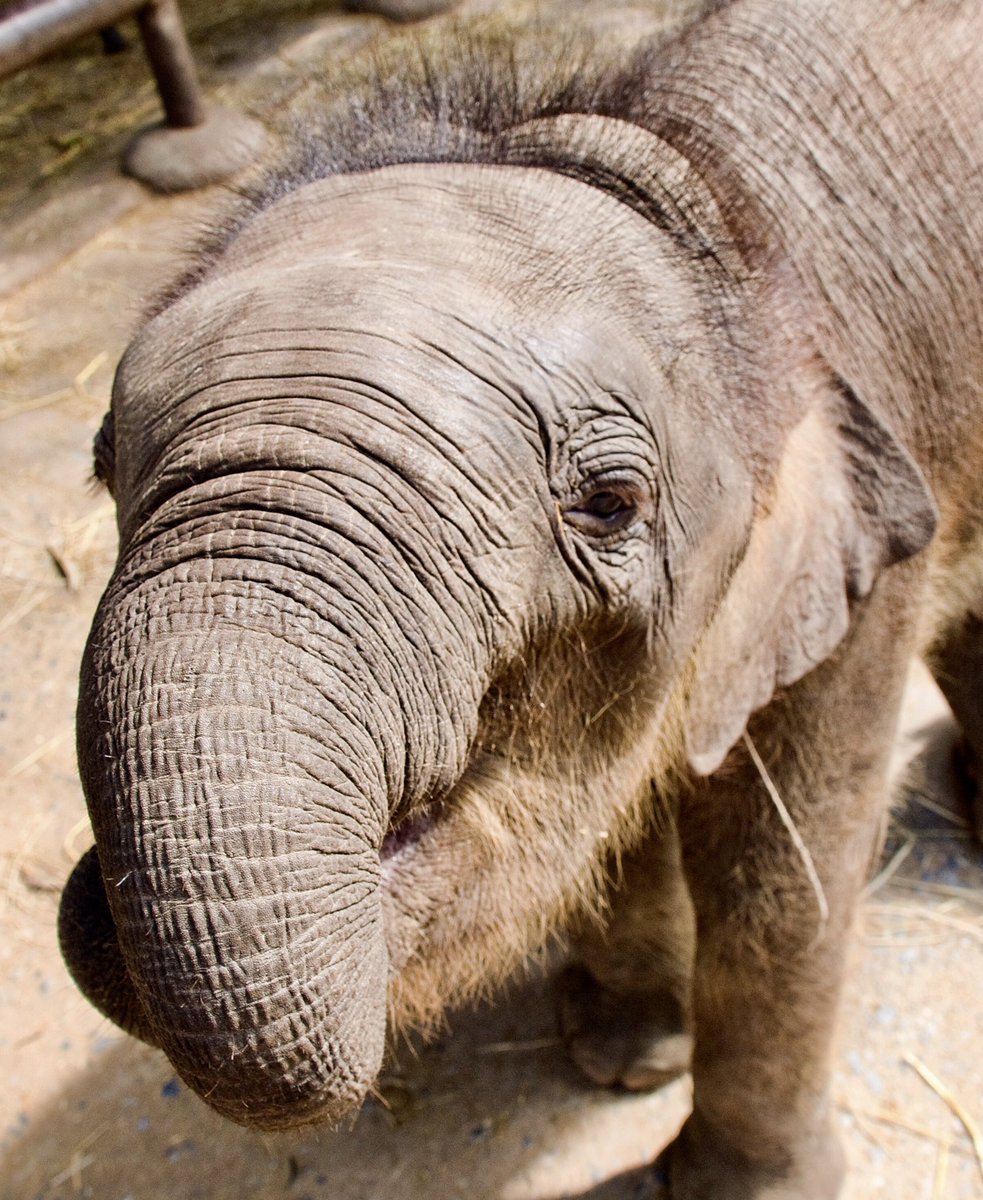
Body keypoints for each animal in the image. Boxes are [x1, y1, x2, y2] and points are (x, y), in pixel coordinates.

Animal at [58, 2, 982, 1197]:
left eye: (608, 503)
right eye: (102, 464)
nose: (97, 902)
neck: (684, 184)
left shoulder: (859, 580)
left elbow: (775, 876)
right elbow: (614, 819)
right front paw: (619, 1058)